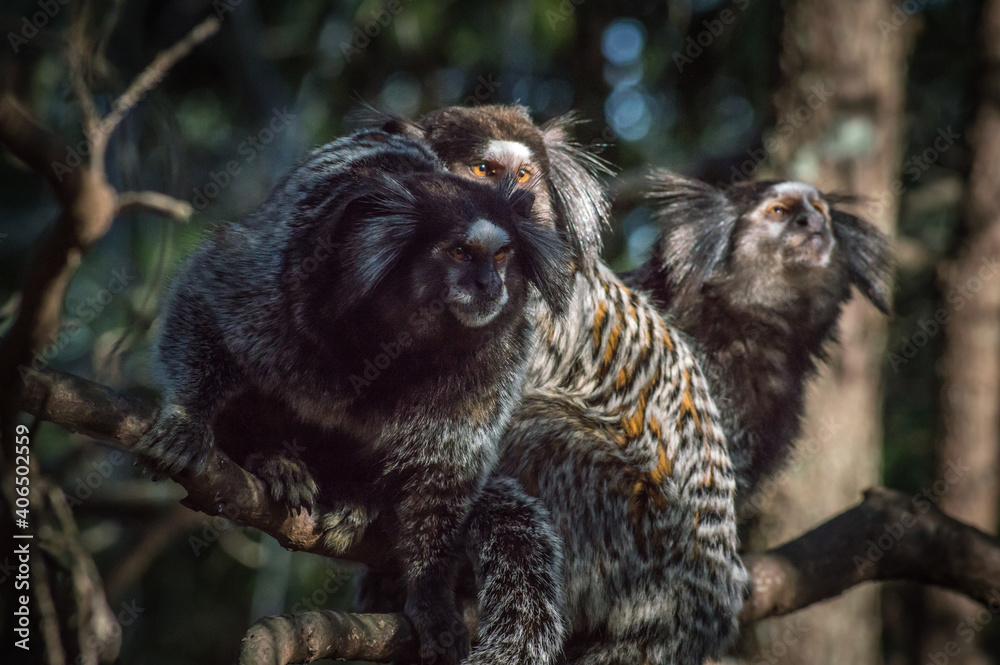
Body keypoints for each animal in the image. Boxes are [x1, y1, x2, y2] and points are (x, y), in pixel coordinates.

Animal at [136, 128, 574, 665]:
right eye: (460, 253)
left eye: (501, 256)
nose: (489, 285)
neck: (401, 337)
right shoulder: (280, 282)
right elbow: (207, 295)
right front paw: (187, 418)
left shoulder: (498, 360)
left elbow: (445, 468)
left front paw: (430, 594)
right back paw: (276, 460)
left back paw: (358, 502)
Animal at [352, 105, 750, 665]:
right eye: (485, 170)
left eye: (523, 176)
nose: (517, 204)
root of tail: (702, 598)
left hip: (630, 526)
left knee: (537, 423)